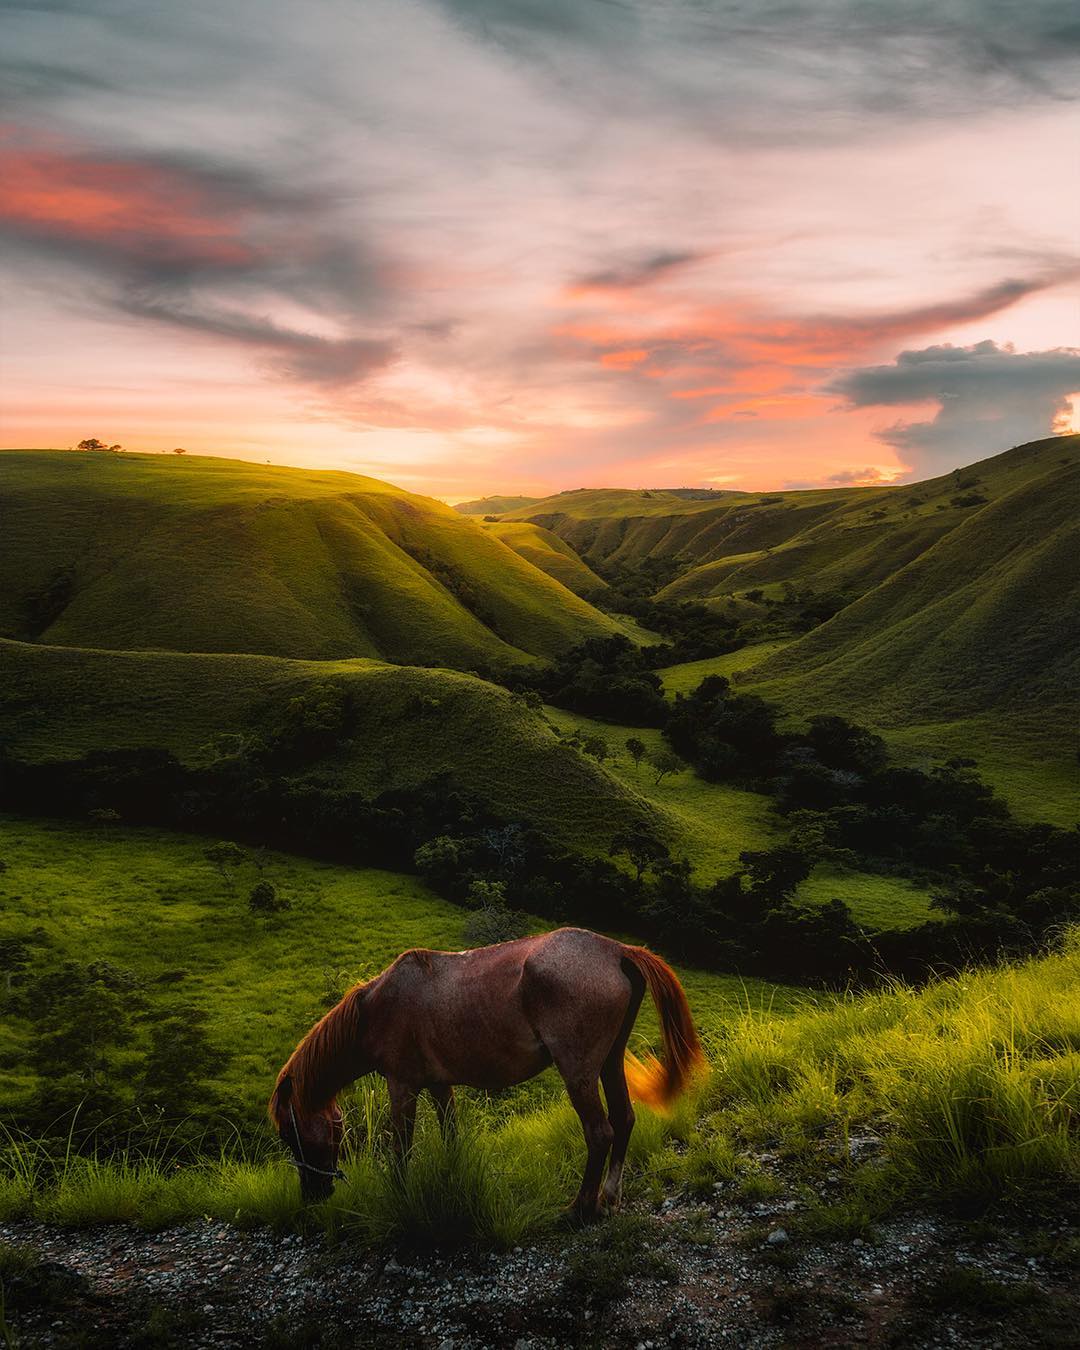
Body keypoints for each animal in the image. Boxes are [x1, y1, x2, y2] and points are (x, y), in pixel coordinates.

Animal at [270, 923, 702, 1220]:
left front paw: (399, 1195)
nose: (313, 1195)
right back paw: (609, 1198)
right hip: (610, 1062)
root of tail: (617, 951)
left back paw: (579, 1209)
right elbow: (451, 1135)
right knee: (624, 1119)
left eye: (291, 1134)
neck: (377, 1010)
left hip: (578, 1071)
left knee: (600, 1133)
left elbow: (401, 1150)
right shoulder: (439, 1085)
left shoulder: (402, 1086)